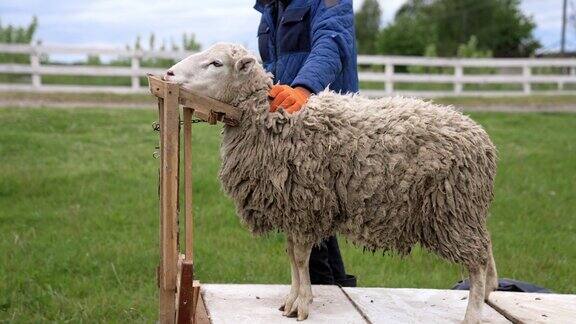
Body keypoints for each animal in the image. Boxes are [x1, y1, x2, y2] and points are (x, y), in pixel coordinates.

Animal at [164, 43, 498, 324]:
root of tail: (482, 139)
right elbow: (292, 256)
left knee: (477, 261)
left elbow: (300, 258)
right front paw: (293, 299)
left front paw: (301, 305)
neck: (274, 121)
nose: (168, 74)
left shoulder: (304, 206)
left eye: (216, 63)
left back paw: (473, 313)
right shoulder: (292, 208)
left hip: (453, 208)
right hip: (467, 211)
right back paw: (487, 295)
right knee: (486, 249)